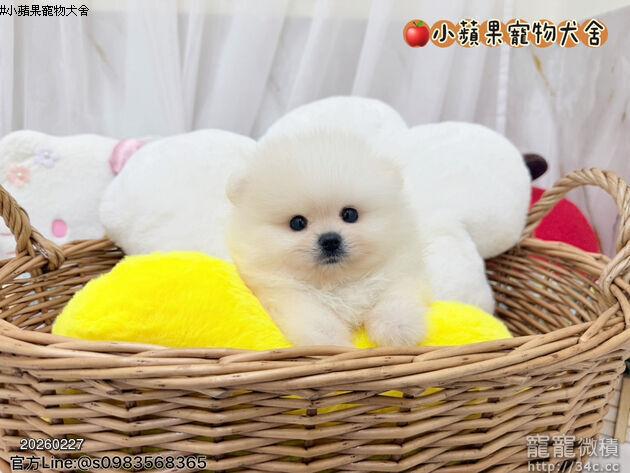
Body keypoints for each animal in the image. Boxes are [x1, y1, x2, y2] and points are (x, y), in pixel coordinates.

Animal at [226, 129, 430, 347]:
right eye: (297, 223)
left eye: (350, 214)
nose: (330, 240)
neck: (338, 281)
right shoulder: (288, 295)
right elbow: (319, 324)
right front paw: (332, 344)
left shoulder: (399, 271)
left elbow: (395, 298)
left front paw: (398, 330)